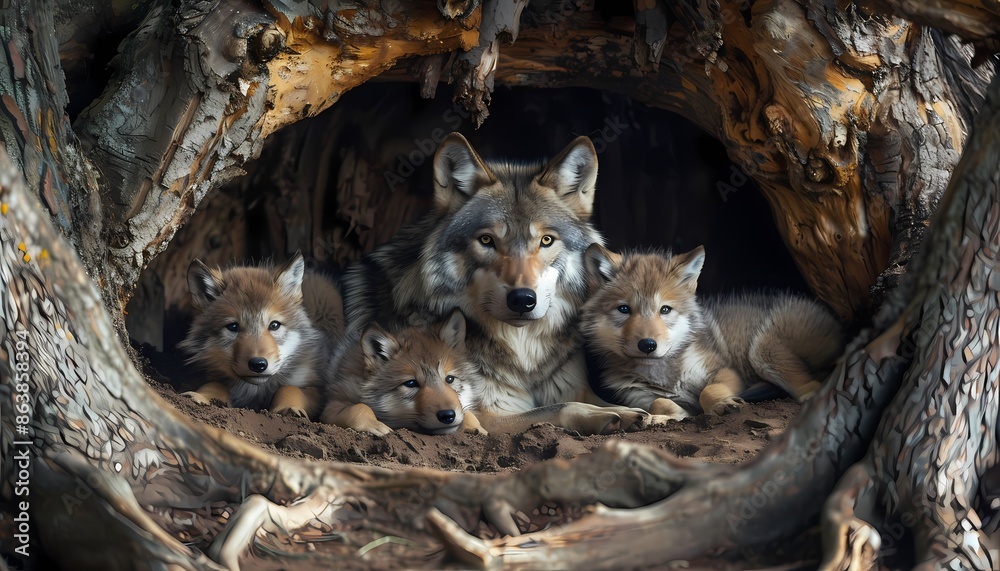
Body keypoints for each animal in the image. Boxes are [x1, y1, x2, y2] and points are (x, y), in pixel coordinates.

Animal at [178, 253, 342, 419]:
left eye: (274, 325)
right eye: (233, 327)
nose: (258, 364)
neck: (256, 391)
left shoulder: (315, 389)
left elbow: (290, 388)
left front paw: (289, 408)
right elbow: (215, 384)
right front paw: (199, 396)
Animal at [320, 309, 486, 436]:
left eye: (450, 379)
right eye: (411, 383)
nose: (448, 415)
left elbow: (469, 414)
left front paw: (478, 429)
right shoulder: (330, 407)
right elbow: (359, 407)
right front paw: (377, 425)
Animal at [341, 132, 647, 435]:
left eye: (546, 240)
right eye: (487, 240)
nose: (523, 299)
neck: (524, 360)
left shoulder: (575, 387)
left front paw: (643, 412)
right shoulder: (484, 414)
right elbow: (561, 408)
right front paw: (610, 415)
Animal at [582, 244, 845, 420]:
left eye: (665, 309)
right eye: (624, 309)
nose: (647, 345)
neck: (667, 375)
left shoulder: (726, 372)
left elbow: (708, 391)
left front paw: (721, 405)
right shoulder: (638, 398)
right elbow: (659, 403)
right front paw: (673, 414)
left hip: (762, 352)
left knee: (810, 384)